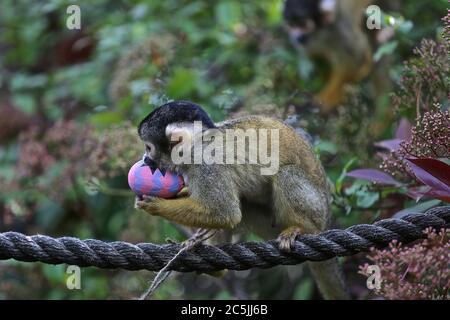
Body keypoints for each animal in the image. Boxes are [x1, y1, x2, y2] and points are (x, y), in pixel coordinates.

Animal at [135, 100, 350, 300]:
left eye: (148, 148)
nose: (145, 159)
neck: (198, 144)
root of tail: (326, 219)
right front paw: (181, 194)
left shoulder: (206, 163)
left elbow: (224, 212)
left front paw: (156, 204)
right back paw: (214, 265)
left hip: (316, 209)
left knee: (286, 174)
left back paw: (300, 227)